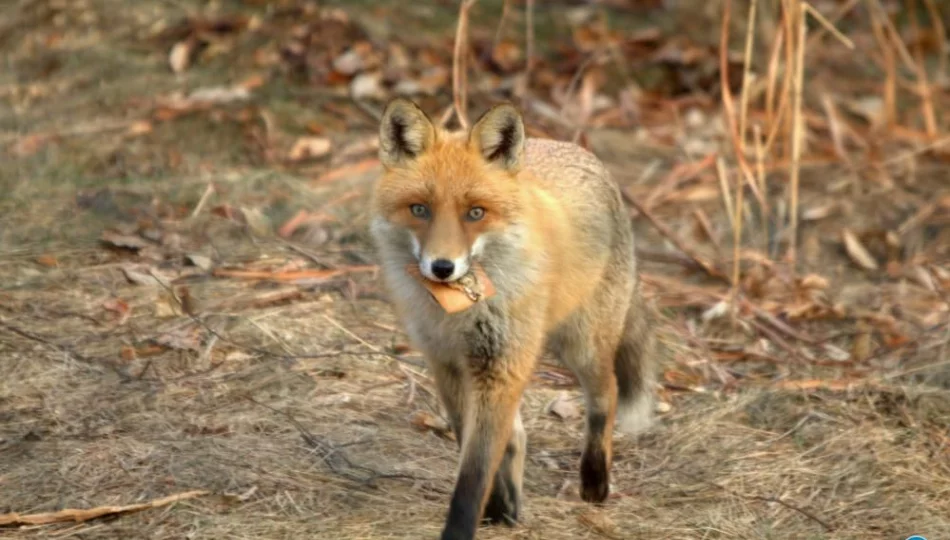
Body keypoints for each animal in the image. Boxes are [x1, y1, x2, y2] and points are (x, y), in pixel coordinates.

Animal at [368, 98, 660, 540]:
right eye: (420, 209)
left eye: (475, 213)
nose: (442, 268)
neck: (461, 311)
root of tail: (579, 149)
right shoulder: (448, 365)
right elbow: (474, 445)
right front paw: (496, 508)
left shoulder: (501, 365)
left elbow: (472, 476)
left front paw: (462, 528)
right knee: (518, 435)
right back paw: (511, 504)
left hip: (581, 345)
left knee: (605, 395)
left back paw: (595, 480)